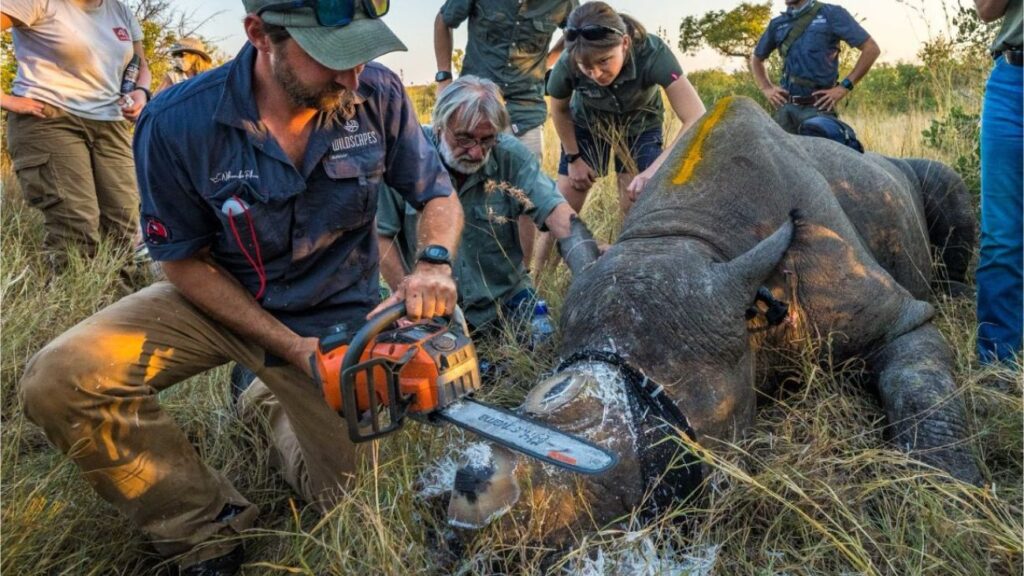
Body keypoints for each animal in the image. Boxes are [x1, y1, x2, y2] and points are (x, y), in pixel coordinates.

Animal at [444, 96, 982, 543]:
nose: (471, 512)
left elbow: (919, 380)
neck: (691, 237)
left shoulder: (894, 317)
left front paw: (947, 496)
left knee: (945, 188)